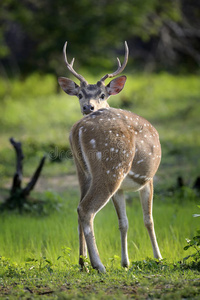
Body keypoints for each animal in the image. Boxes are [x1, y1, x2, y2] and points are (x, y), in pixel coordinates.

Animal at [58, 41, 162, 274]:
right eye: (79, 94)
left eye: (103, 94)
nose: (88, 106)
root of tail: (78, 128)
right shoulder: (148, 180)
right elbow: (149, 219)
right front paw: (159, 258)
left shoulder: (122, 189)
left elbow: (123, 222)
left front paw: (125, 262)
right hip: (111, 166)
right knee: (85, 209)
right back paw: (99, 265)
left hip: (82, 170)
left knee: (78, 208)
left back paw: (83, 263)